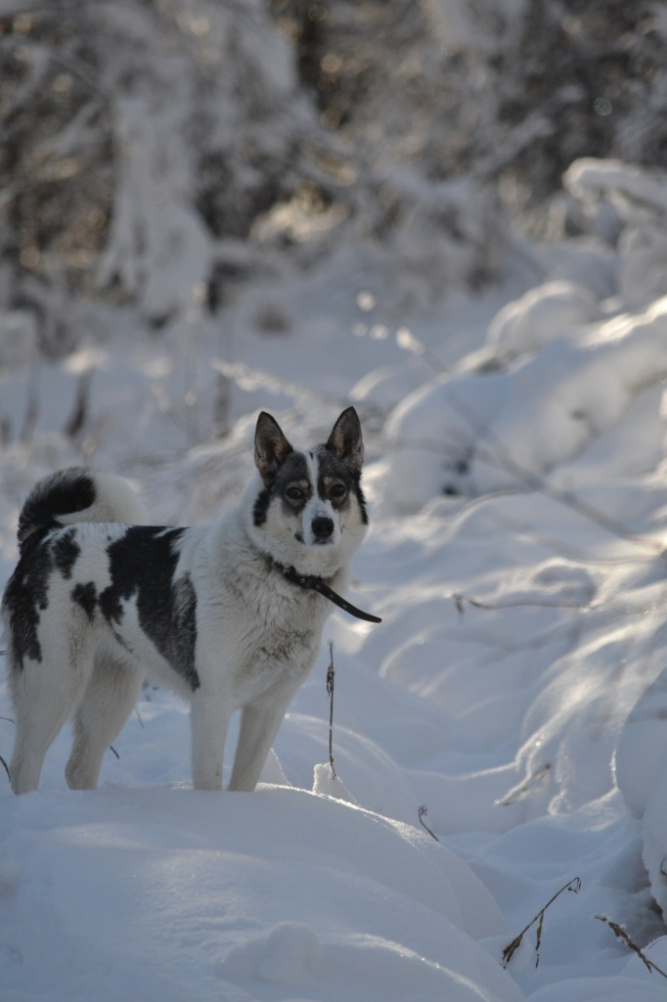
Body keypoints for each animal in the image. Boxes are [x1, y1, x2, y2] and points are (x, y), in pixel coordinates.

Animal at [2, 407, 379, 794]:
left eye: (337, 491)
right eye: (295, 492)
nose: (323, 526)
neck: (280, 572)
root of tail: (45, 534)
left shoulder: (268, 708)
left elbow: (243, 782)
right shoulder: (212, 702)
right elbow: (211, 781)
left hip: (113, 693)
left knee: (79, 767)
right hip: (54, 682)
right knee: (25, 765)